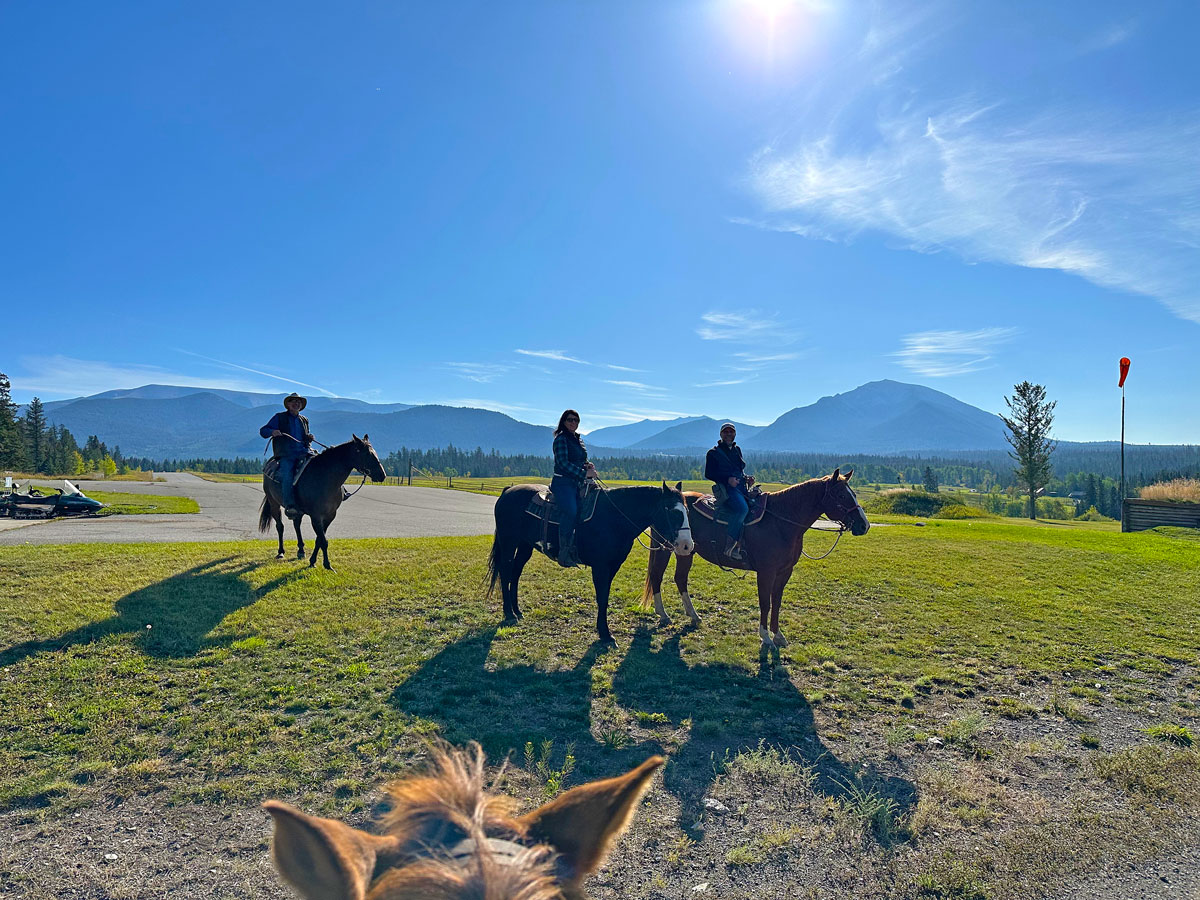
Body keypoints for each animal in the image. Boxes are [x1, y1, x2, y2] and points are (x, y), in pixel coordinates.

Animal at [258, 434, 387, 570]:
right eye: (367, 453)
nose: (382, 475)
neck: (325, 478)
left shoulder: (330, 515)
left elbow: (319, 539)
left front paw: (312, 561)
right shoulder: (316, 516)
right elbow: (323, 541)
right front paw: (327, 564)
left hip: (298, 510)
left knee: (296, 525)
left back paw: (301, 551)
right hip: (274, 503)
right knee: (280, 526)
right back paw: (281, 552)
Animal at [487, 482, 695, 643]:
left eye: (687, 511)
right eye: (673, 512)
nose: (687, 545)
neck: (614, 518)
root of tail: (508, 491)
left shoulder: (613, 566)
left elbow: (605, 596)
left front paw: (604, 632)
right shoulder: (601, 567)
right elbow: (602, 597)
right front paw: (606, 634)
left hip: (524, 546)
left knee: (515, 573)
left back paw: (517, 611)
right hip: (508, 542)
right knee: (505, 572)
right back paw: (509, 613)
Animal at [642, 468, 870, 649]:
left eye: (853, 493)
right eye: (840, 495)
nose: (864, 525)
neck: (781, 522)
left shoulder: (785, 572)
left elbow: (776, 602)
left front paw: (778, 635)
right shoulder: (766, 572)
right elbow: (765, 603)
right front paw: (766, 637)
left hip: (686, 550)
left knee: (680, 579)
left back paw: (694, 615)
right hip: (665, 548)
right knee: (657, 575)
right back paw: (663, 614)